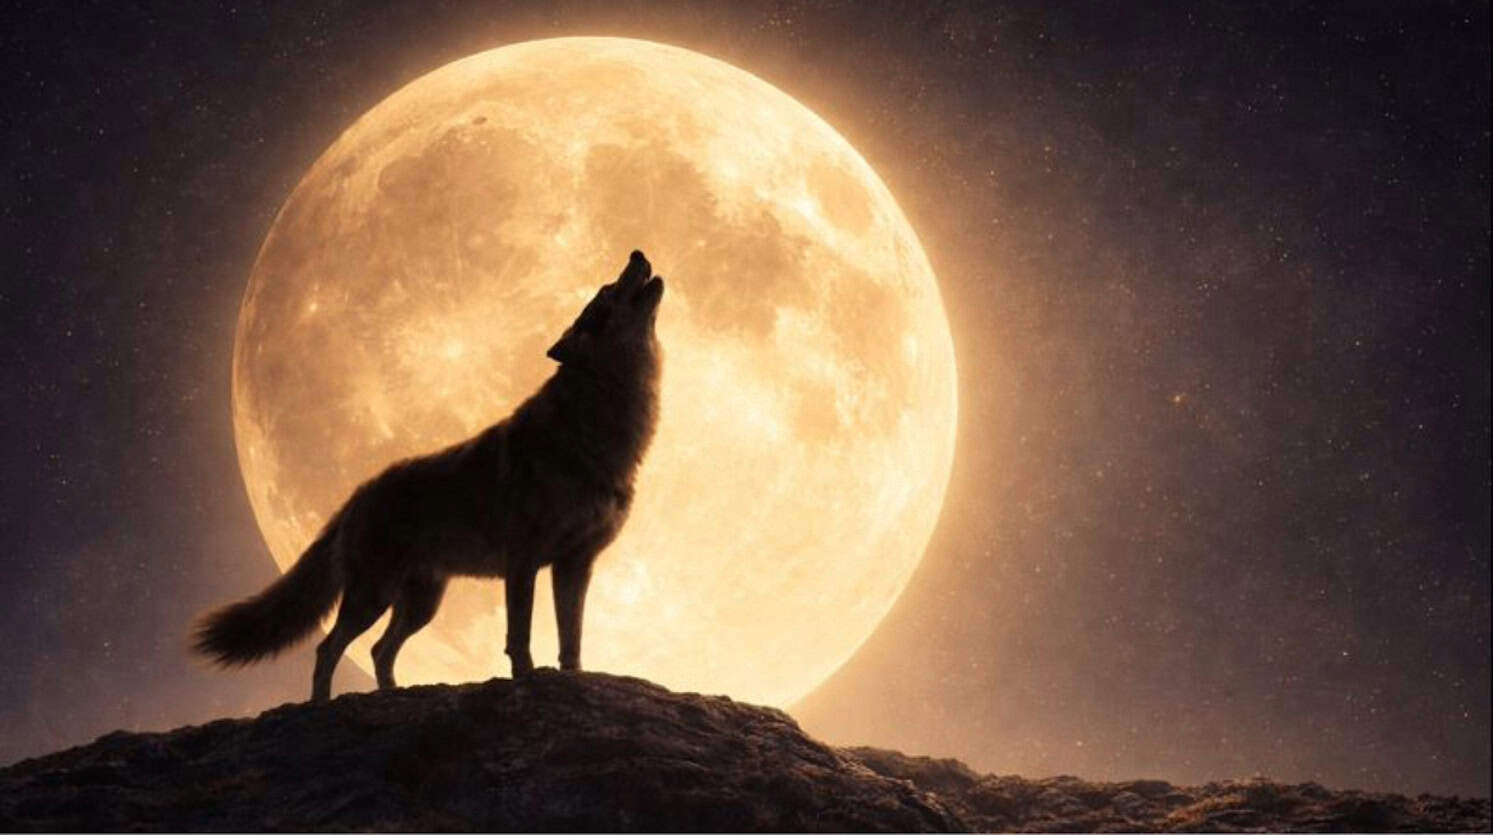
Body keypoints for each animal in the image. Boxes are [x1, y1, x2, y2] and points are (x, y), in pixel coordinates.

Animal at [194, 251, 664, 702]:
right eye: (608, 288)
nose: (637, 252)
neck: (595, 425)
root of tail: (356, 495)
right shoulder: (524, 561)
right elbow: (520, 638)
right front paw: (526, 683)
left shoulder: (575, 564)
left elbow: (572, 639)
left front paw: (573, 680)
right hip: (374, 596)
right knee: (329, 648)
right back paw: (321, 705)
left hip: (421, 605)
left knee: (378, 650)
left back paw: (391, 695)